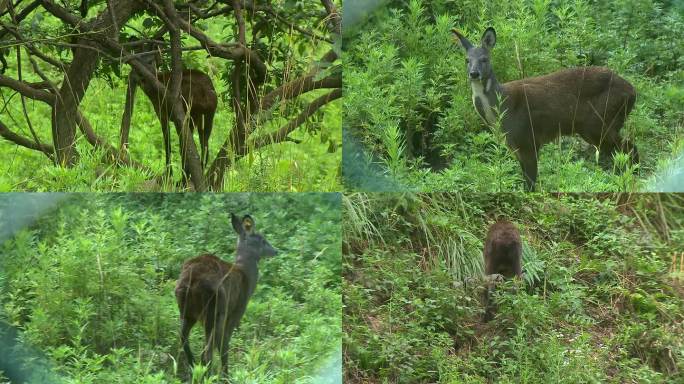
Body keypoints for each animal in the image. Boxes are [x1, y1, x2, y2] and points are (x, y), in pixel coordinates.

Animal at [175, 213, 280, 376]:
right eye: (262, 240)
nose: (275, 251)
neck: (245, 275)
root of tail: (190, 283)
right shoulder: (237, 311)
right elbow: (224, 344)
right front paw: (225, 374)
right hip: (215, 310)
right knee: (207, 350)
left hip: (186, 310)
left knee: (183, 339)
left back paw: (194, 369)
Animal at [452, 27, 640, 190]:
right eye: (466, 60)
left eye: (485, 59)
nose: (474, 73)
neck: (502, 109)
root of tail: (632, 91)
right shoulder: (514, 145)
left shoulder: (528, 139)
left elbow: (530, 185)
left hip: (599, 122)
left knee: (629, 148)